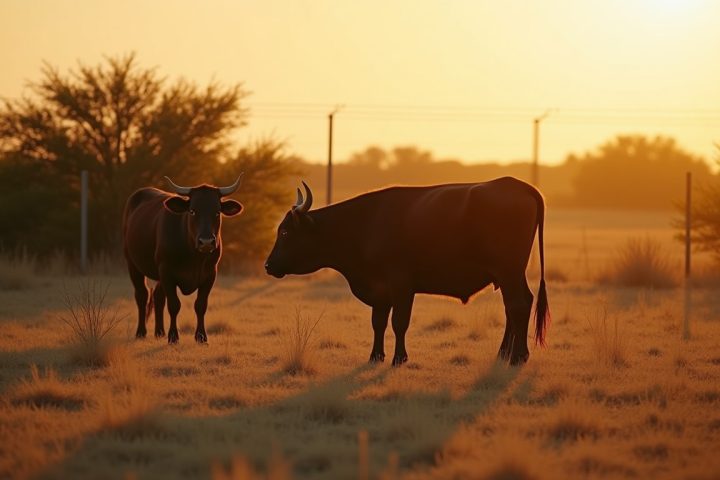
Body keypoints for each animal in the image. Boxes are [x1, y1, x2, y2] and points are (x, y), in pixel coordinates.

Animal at [122, 176, 244, 344]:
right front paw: (173, 336)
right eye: (192, 211)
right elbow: (174, 305)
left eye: (217, 212)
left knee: (158, 297)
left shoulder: (210, 274)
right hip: (133, 265)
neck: (194, 258)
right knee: (142, 295)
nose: (206, 242)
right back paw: (141, 332)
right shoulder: (167, 271)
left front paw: (201, 336)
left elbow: (200, 305)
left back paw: (159, 332)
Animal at [264, 177, 549, 366]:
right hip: (509, 275)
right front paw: (376, 356)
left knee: (518, 306)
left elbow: (399, 322)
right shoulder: (380, 290)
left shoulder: (401, 285)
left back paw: (518, 356)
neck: (364, 225)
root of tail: (515, 184)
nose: (268, 265)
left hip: (509, 272)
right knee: (515, 306)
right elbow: (378, 323)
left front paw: (399, 357)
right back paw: (504, 353)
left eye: (285, 232)